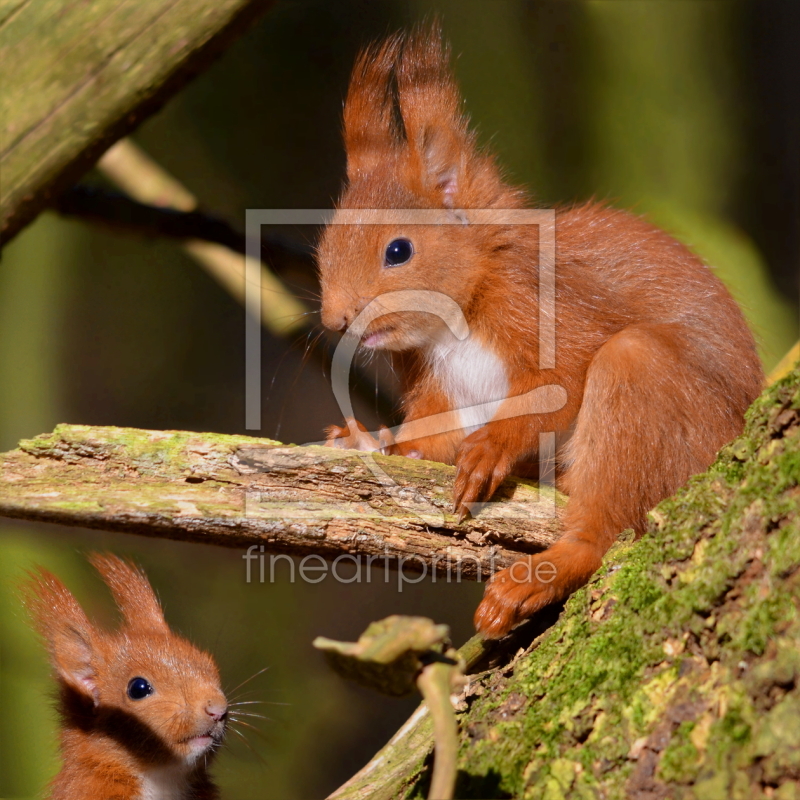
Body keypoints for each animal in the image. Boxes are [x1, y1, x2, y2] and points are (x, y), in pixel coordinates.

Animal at [318, 28, 764, 636]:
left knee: (603, 529)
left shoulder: (547, 312)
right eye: (325, 241)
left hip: (651, 394)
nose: (335, 320)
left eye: (399, 250)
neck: (457, 320)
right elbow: (431, 441)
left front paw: (490, 449)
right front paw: (371, 439)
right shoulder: (442, 388)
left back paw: (536, 575)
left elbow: (560, 384)